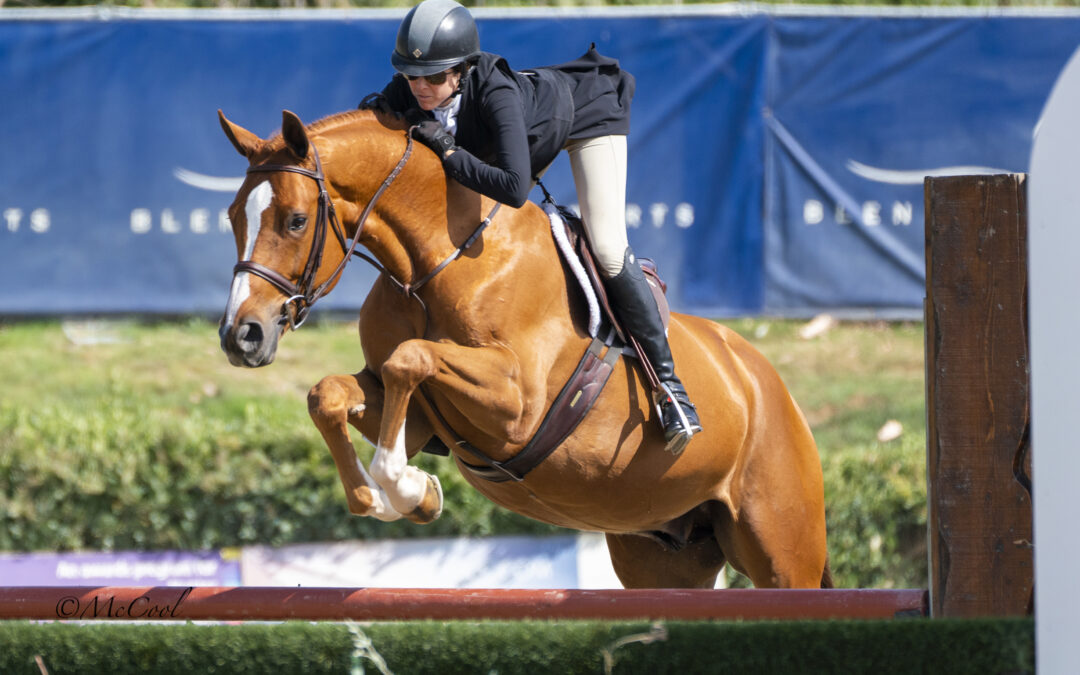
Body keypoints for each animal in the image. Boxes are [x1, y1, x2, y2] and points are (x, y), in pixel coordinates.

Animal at [217, 108, 825, 587]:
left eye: (297, 221)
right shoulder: (424, 417)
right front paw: (392, 496)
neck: (435, 261)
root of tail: (768, 386)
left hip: (782, 549)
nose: (240, 336)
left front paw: (406, 486)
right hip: (663, 556)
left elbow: (409, 357)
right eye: (232, 217)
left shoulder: (517, 406)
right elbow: (331, 394)